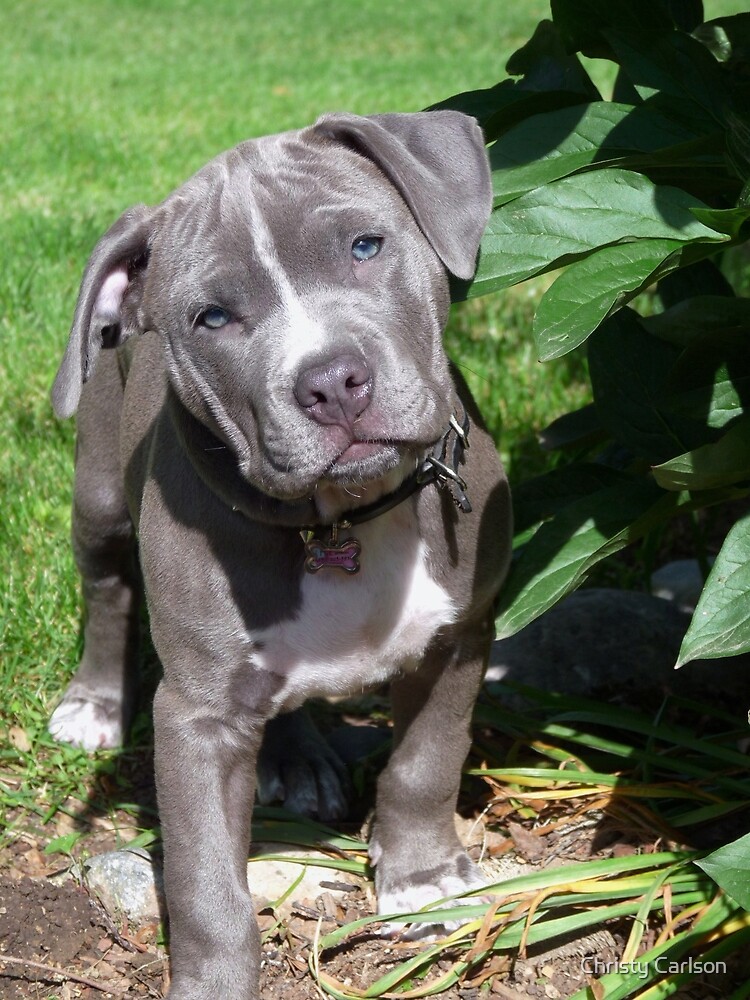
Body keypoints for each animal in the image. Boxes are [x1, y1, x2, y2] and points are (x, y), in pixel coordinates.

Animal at [50, 111, 516, 1000]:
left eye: (366, 246)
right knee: (107, 593)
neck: (342, 521)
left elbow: (427, 763)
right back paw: (93, 705)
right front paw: (213, 984)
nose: (333, 382)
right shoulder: (196, 717)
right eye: (213, 318)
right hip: (96, 495)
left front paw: (424, 881)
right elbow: (205, 885)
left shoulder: (459, 633)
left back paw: (298, 760)